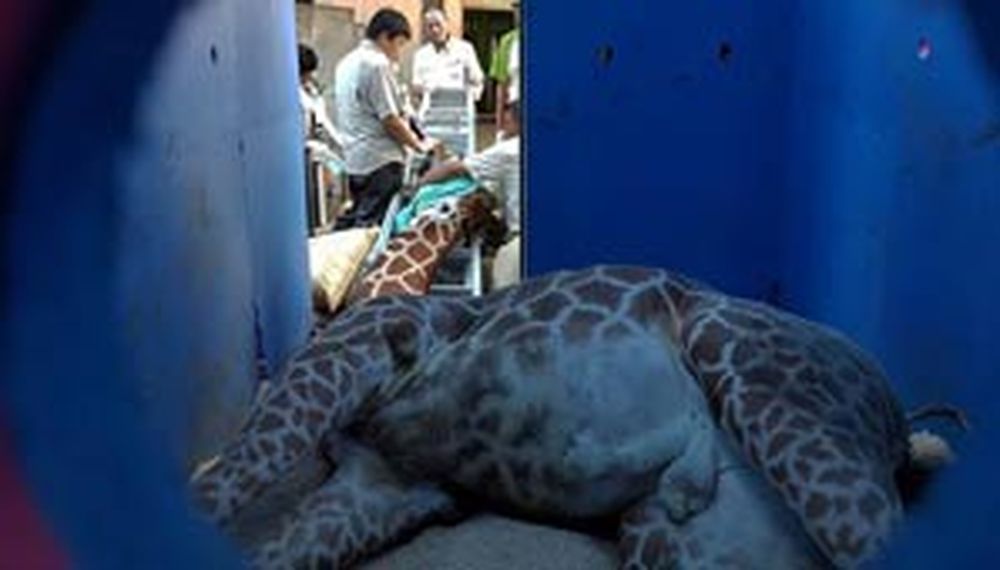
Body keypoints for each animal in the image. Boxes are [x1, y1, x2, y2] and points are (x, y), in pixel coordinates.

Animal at [192, 265, 946, 569]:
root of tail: (901, 427)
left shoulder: (353, 354)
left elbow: (228, 476)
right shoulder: (379, 482)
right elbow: (272, 551)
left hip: (751, 370)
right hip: (678, 535)